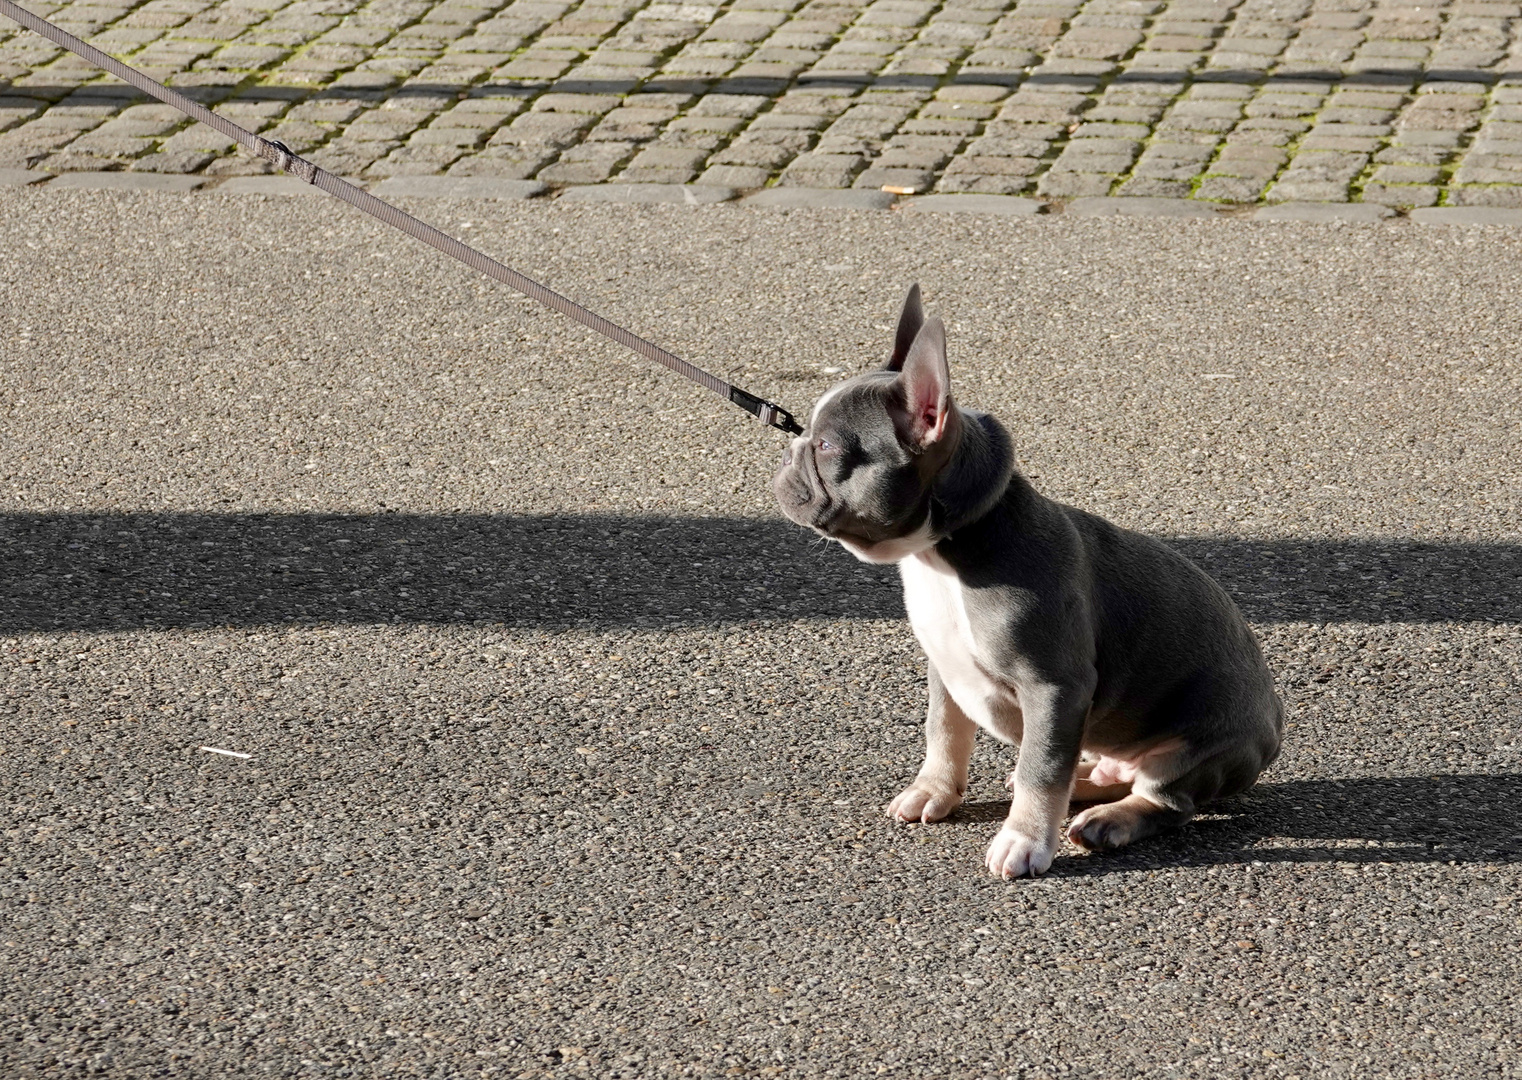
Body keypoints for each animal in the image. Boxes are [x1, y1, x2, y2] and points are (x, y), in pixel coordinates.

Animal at [773, 285, 1284, 882]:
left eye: (827, 447)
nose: (789, 451)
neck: (943, 553)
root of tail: (1274, 725)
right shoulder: (944, 668)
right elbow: (943, 732)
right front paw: (934, 791)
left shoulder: (1055, 687)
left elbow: (1042, 768)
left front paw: (1023, 839)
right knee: (1096, 768)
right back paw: (1086, 782)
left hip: (1197, 745)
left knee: (1163, 797)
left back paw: (1110, 819)